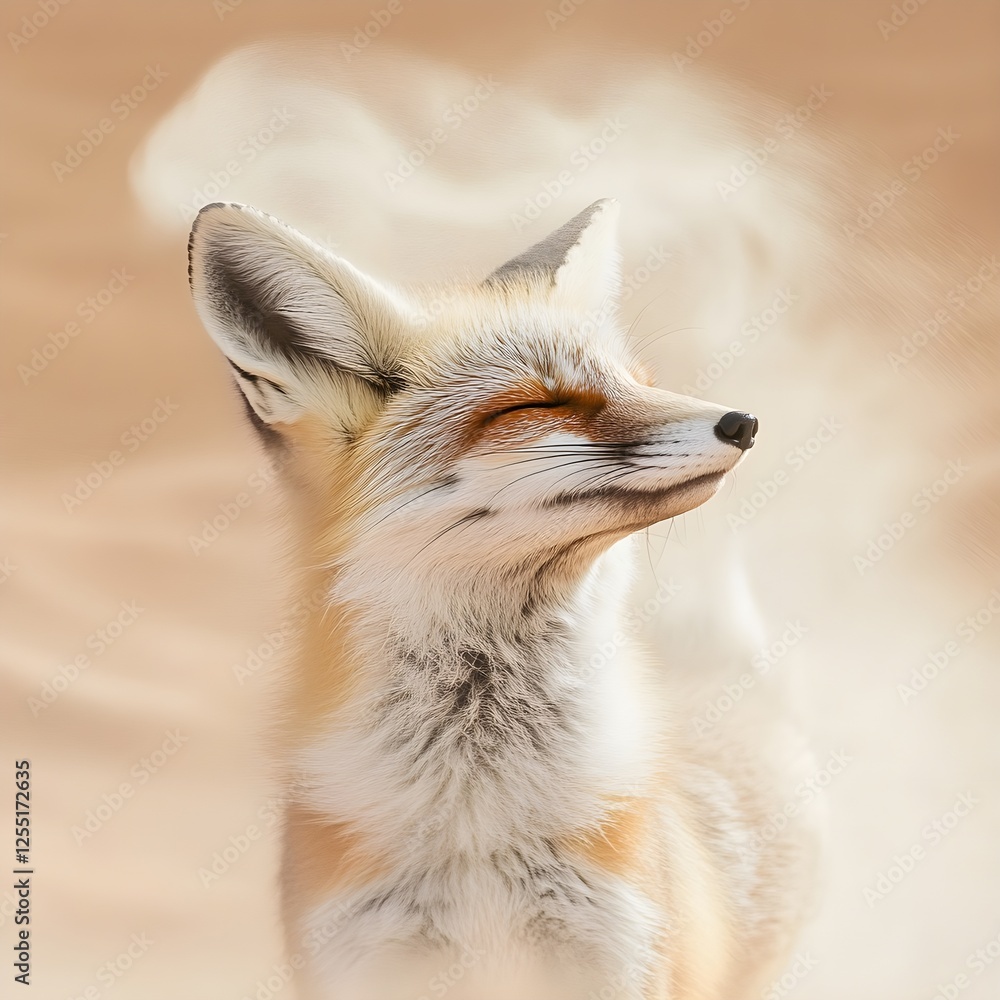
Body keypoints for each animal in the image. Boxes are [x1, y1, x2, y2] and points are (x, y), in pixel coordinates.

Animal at [187, 198, 816, 999]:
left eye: (644, 381)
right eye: (541, 402)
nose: (744, 422)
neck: (477, 815)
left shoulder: (616, 951)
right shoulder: (366, 957)